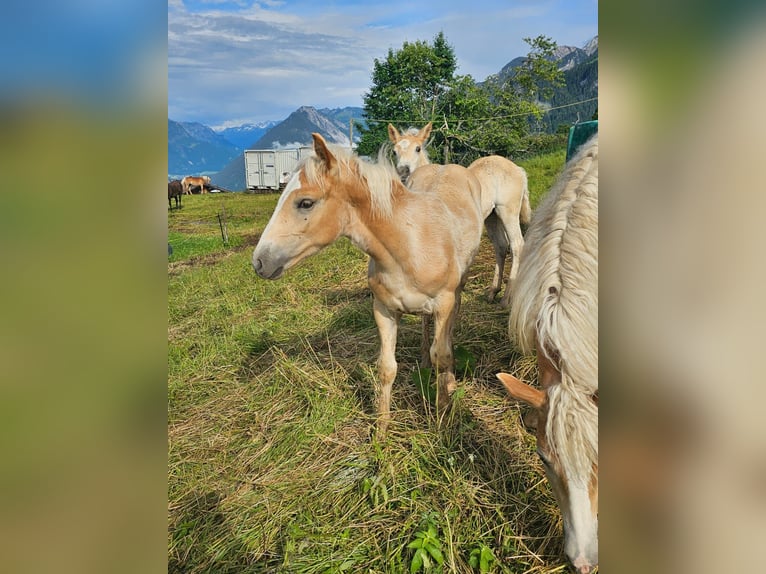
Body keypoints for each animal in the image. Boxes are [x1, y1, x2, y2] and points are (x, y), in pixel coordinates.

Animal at [255, 133, 484, 434]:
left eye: (305, 202)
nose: (259, 261)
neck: (409, 244)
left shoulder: (443, 303)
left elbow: (443, 355)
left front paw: (443, 415)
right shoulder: (384, 309)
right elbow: (386, 367)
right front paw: (381, 429)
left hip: (458, 287)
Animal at [390, 123, 536, 308]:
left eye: (417, 148)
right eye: (394, 151)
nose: (403, 173)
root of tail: (518, 169)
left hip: (508, 210)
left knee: (517, 244)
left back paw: (506, 298)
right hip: (492, 216)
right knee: (502, 246)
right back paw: (493, 292)